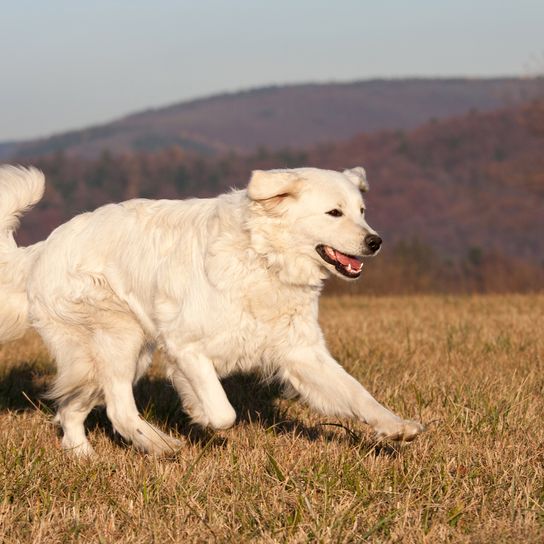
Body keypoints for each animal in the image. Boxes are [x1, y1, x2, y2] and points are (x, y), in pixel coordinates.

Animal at [0, 165, 424, 454]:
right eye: (334, 213)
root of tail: (41, 249)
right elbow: (224, 412)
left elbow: (358, 395)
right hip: (119, 336)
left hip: (114, 355)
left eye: (362, 210)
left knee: (71, 409)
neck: (262, 258)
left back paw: (84, 457)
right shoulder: (184, 346)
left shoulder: (303, 354)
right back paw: (163, 446)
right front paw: (200, 413)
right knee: (117, 408)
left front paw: (396, 426)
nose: (375, 241)